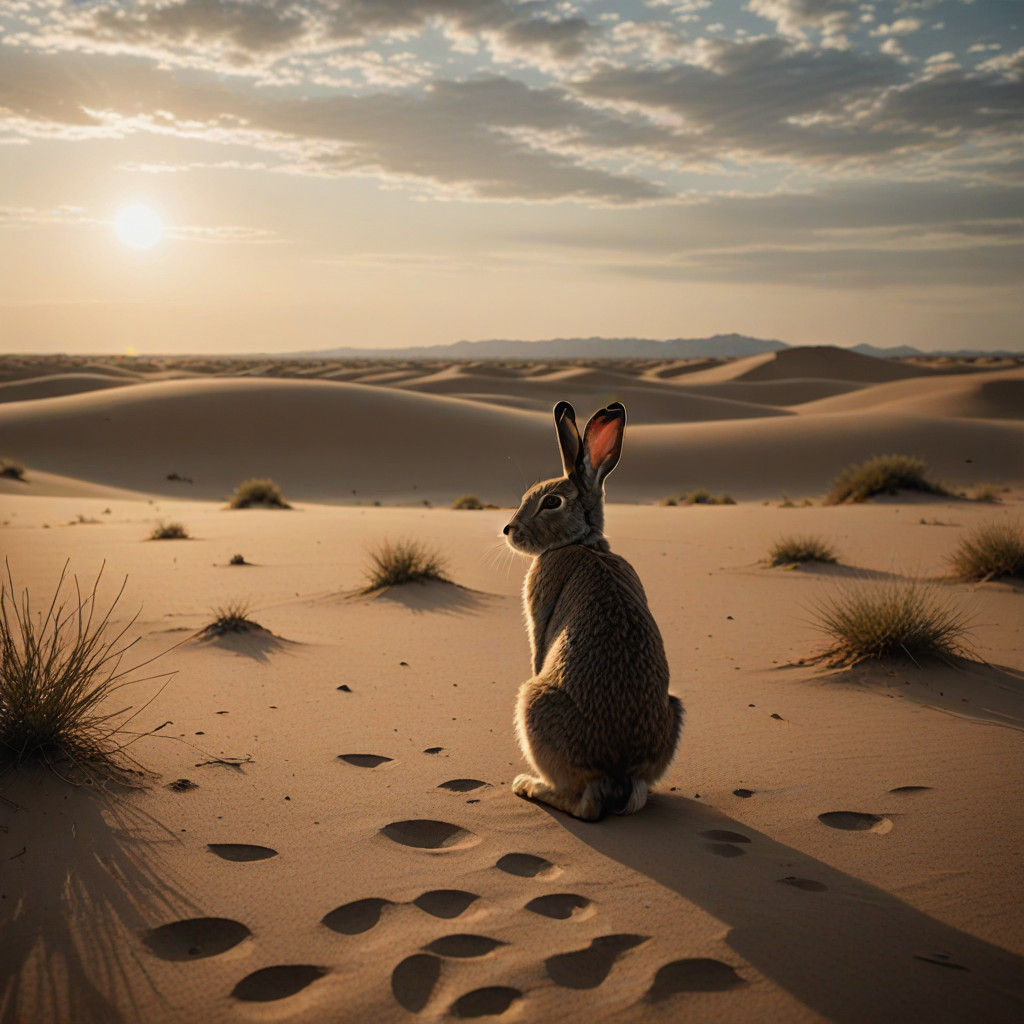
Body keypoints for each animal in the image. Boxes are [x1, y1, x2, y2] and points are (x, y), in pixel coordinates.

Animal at [502, 401, 683, 821]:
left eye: (552, 502)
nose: (509, 530)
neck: (581, 541)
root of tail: (616, 772)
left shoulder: (540, 610)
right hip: (675, 710)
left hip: (533, 704)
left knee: (583, 804)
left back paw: (528, 786)